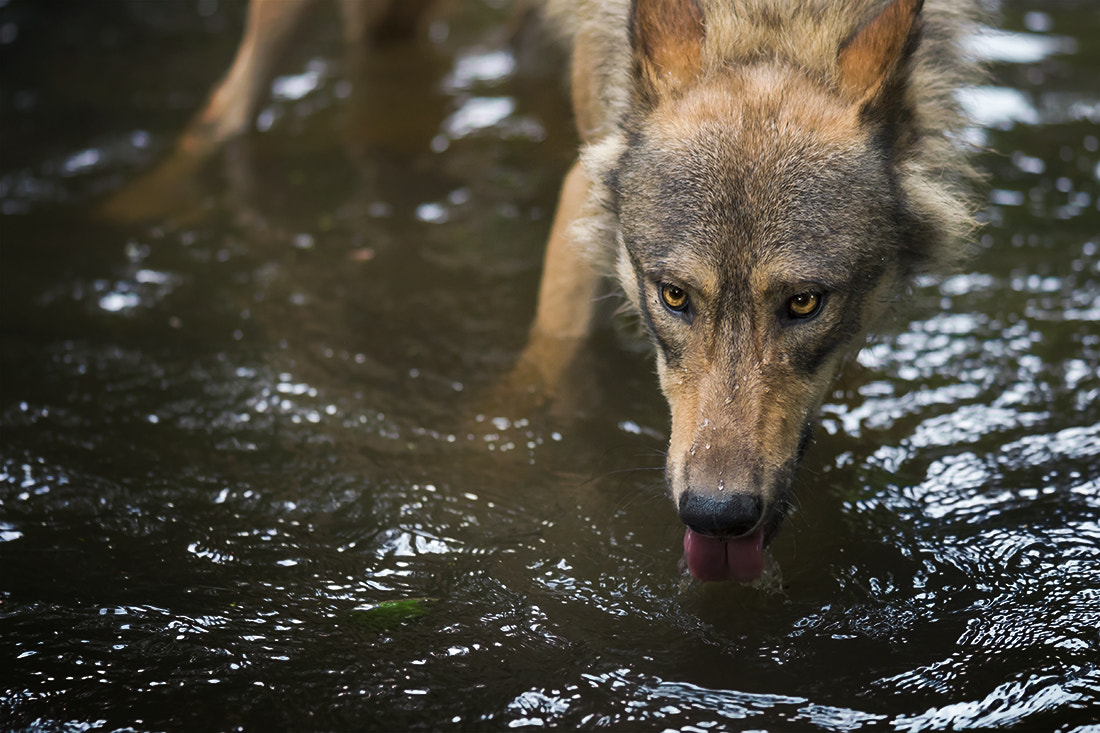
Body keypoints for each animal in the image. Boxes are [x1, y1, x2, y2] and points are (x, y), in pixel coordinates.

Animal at [113, 0, 981, 581]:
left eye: (803, 303)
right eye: (674, 296)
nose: (716, 513)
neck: (772, 18)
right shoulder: (583, 193)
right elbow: (543, 360)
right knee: (230, 106)